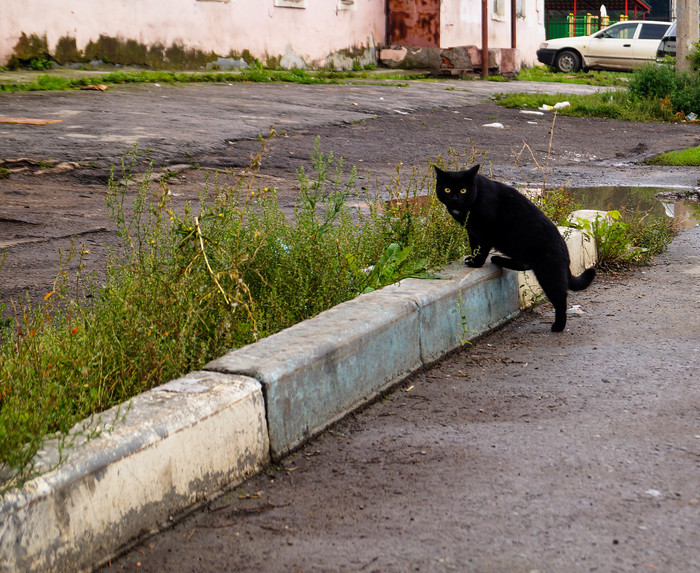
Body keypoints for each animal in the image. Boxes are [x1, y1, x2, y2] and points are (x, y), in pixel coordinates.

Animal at [434, 162, 592, 330]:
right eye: (447, 189)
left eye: (463, 190)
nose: (454, 198)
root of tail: (565, 251)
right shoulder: (472, 231)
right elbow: (474, 246)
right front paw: (473, 259)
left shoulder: (488, 230)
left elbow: (482, 248)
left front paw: (476, 263)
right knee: (524, 265)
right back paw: (497, 259)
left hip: (548, 272)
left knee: (560, 297)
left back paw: (558, 326)